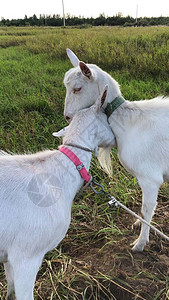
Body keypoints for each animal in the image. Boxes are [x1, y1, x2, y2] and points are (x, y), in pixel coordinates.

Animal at [63, 48, 169, 252]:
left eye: (77, 88)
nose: (67, 117)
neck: (128, 119)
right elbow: (144, 210)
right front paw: (138, 223)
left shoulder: (150, 178)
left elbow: (147, 208)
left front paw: (140, 243)